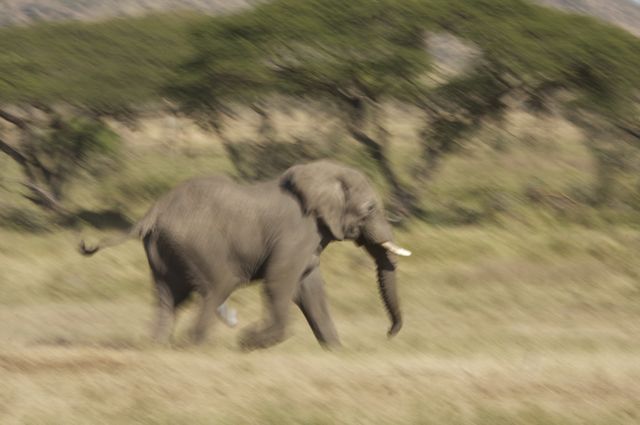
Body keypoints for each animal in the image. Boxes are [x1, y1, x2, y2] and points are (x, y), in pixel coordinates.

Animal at [79, 159, 410, 348]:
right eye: (370, 208)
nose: (389, 334)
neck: (320, 174)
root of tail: (152, 212)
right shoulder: (295, 235)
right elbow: (280, 282)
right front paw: (247, 342)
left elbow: (311, 290)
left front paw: (334, 349)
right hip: (199, 245)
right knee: (218, 286)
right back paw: (192, 345)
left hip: (162, 250)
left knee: (167, 296)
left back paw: (157, 346)